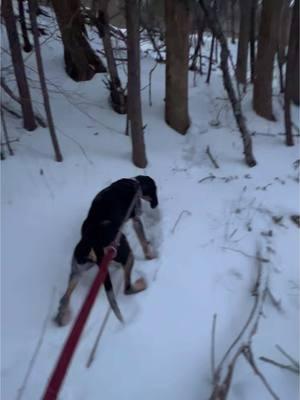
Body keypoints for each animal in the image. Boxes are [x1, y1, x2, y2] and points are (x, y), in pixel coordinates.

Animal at [54, 177, 158, 326]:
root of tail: (94, 245)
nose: (155, 204)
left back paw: (63, 316)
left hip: (77, 270)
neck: (135, 183)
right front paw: (151, 256)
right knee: (127, 288)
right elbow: (143, 241)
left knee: (64, 298)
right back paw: (141, 284)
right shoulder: (136, 219)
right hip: (127, 256)